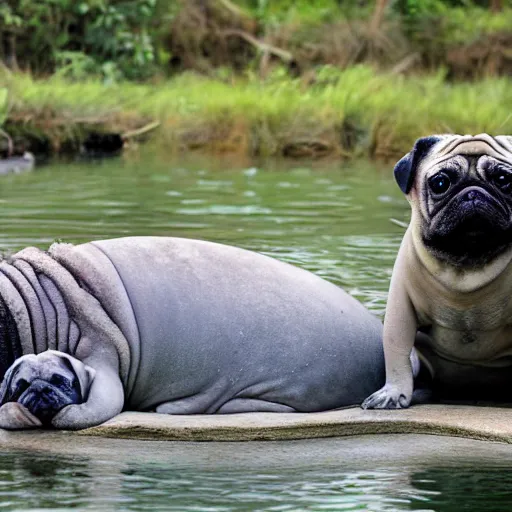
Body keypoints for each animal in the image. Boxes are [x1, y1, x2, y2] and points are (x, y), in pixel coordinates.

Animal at [362, 134, 512, 410]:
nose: (473, 191)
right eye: (440, 182)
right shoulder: (401, 310)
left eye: (503, 179)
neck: (467, 262)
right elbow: (396, 351)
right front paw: (393, 393)